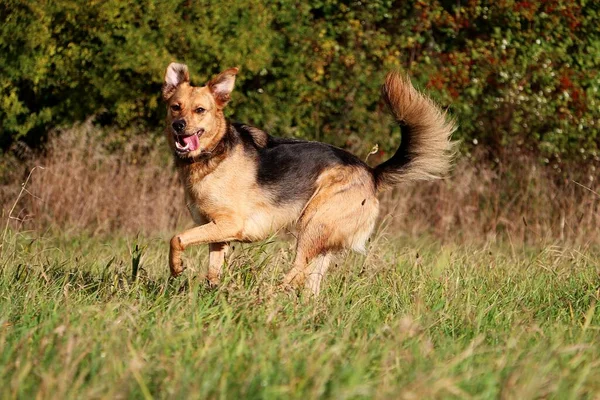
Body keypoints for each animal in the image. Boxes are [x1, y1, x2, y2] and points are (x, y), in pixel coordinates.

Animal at [162, 62, 452, 294]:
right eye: (175, 107)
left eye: (200, 110)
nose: (178, 125)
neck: (212, 154)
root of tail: (371, 172)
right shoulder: (218, 232)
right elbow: (212, 270)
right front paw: (212, 291)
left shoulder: (230, 224)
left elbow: (176, 238)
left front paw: (176, 268)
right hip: (321, 242)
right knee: (310, 283)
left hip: (312, 225)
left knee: (298, 272)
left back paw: (268, 293)